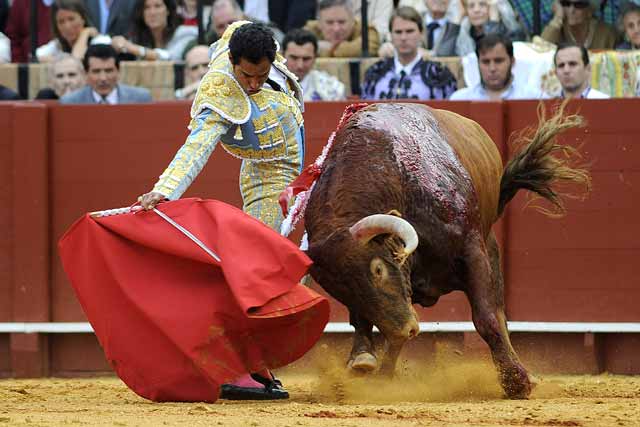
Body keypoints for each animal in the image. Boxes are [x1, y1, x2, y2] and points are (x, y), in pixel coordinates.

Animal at [304, 102, 592, 400]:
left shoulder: (472, 251)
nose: (404, 330)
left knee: (498, 311)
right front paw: (365, 362)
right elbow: (363, 319)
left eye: (378, 269)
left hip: (490, 248)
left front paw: (516, 382)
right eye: (340, 292)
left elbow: (486, 317)